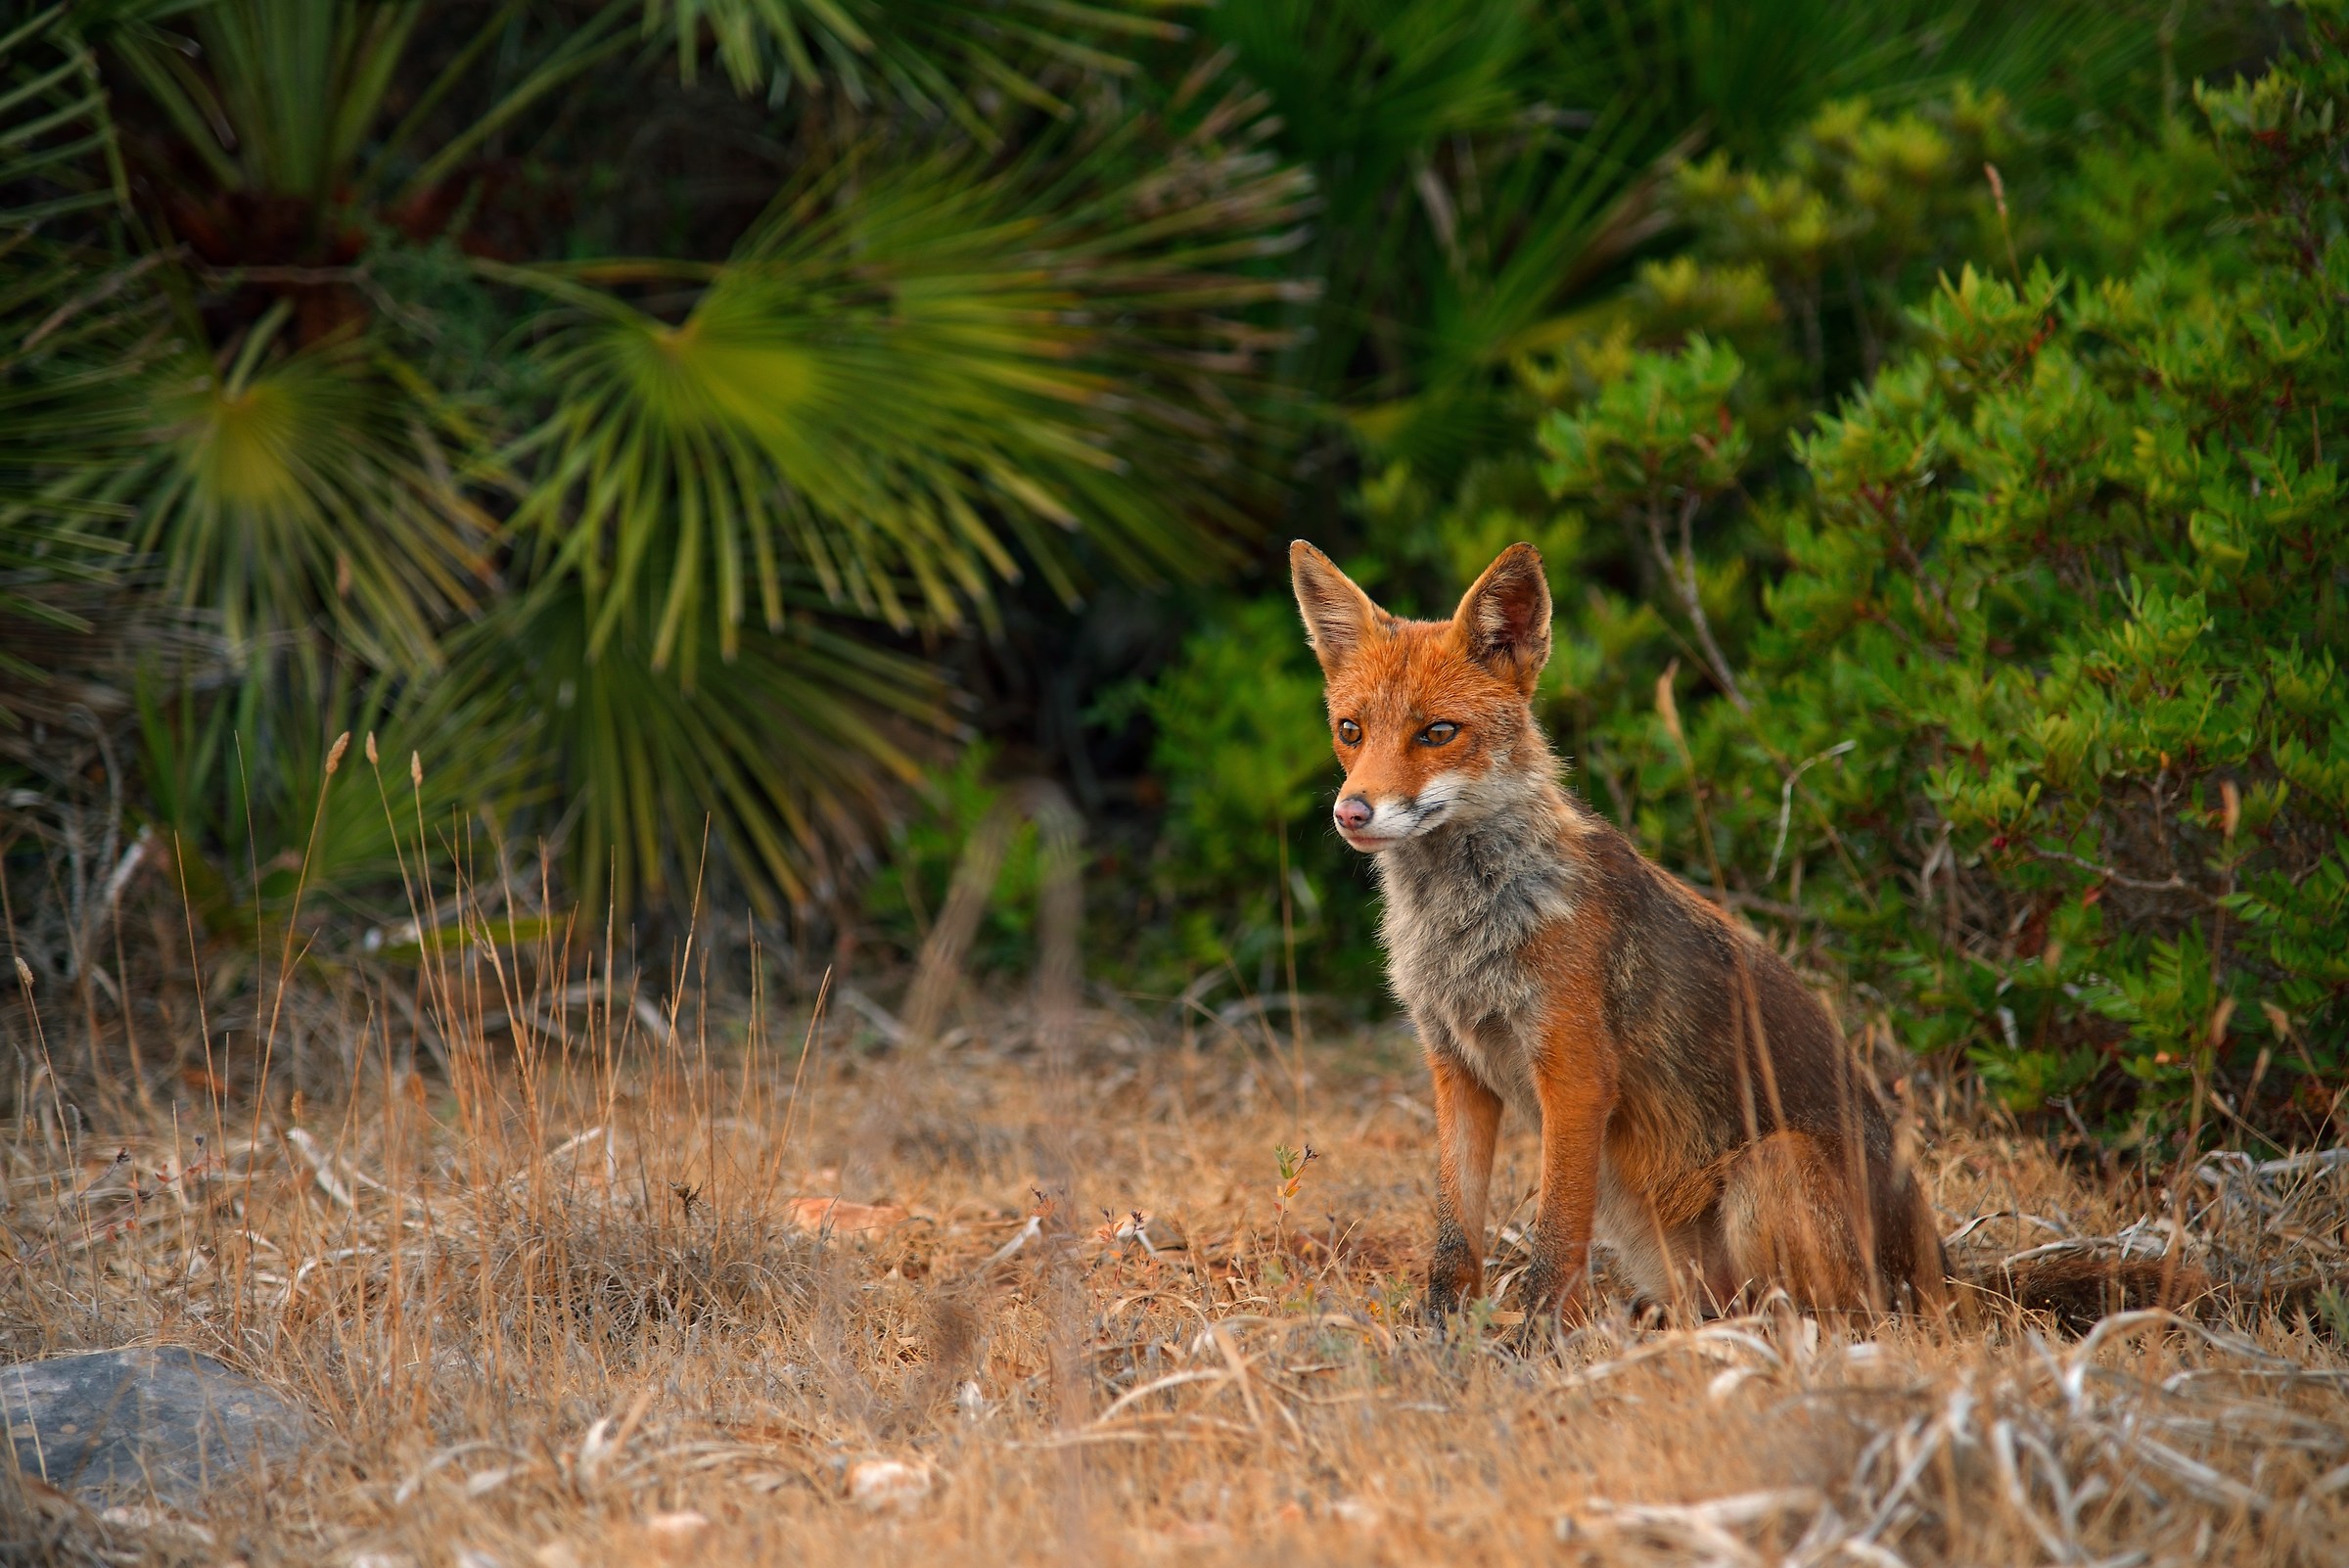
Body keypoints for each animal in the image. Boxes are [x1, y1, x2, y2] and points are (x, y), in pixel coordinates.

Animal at [1290, 538, 1951, 1322]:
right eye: (1350, 731)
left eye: (1437, 733)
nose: (1351, 812)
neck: (1469, 931)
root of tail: (1949, 1275)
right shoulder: (1456, 1070)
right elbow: (1454, 1242)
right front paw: (1442, 1333)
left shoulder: (1575, 1075)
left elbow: (1554, 1242)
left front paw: (1535, 1339)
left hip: (1770, 1172)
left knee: (1827, 1320)